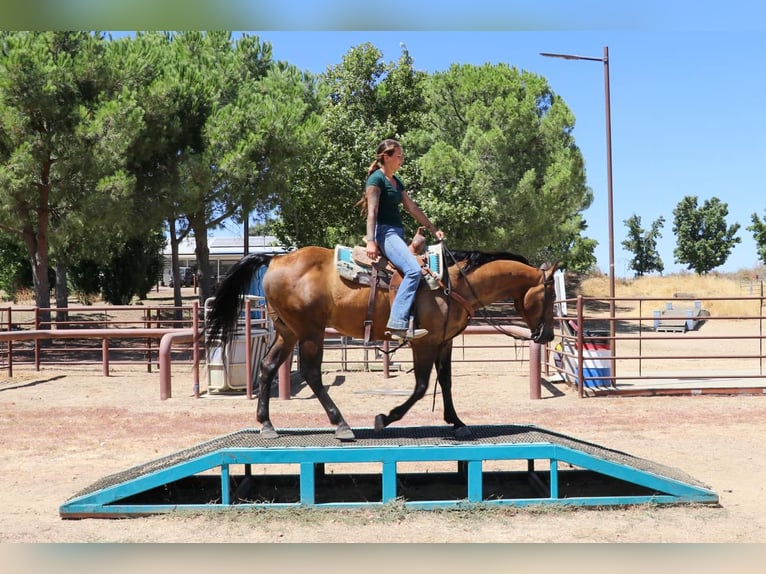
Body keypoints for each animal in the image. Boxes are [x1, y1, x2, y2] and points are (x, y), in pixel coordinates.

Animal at [205, 245, 557, 441]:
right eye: (551, 295)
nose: (548, 336)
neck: (453, 283)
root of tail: (276, 259)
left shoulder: (444, 342)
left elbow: (445, 381)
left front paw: (457, 422)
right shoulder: (424, 343)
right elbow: (421, 385)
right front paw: (386, 418)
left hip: (288, 332)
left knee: (266, 367)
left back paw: (266, 424)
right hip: (310, 333)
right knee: (312, 374)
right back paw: (341, 424)